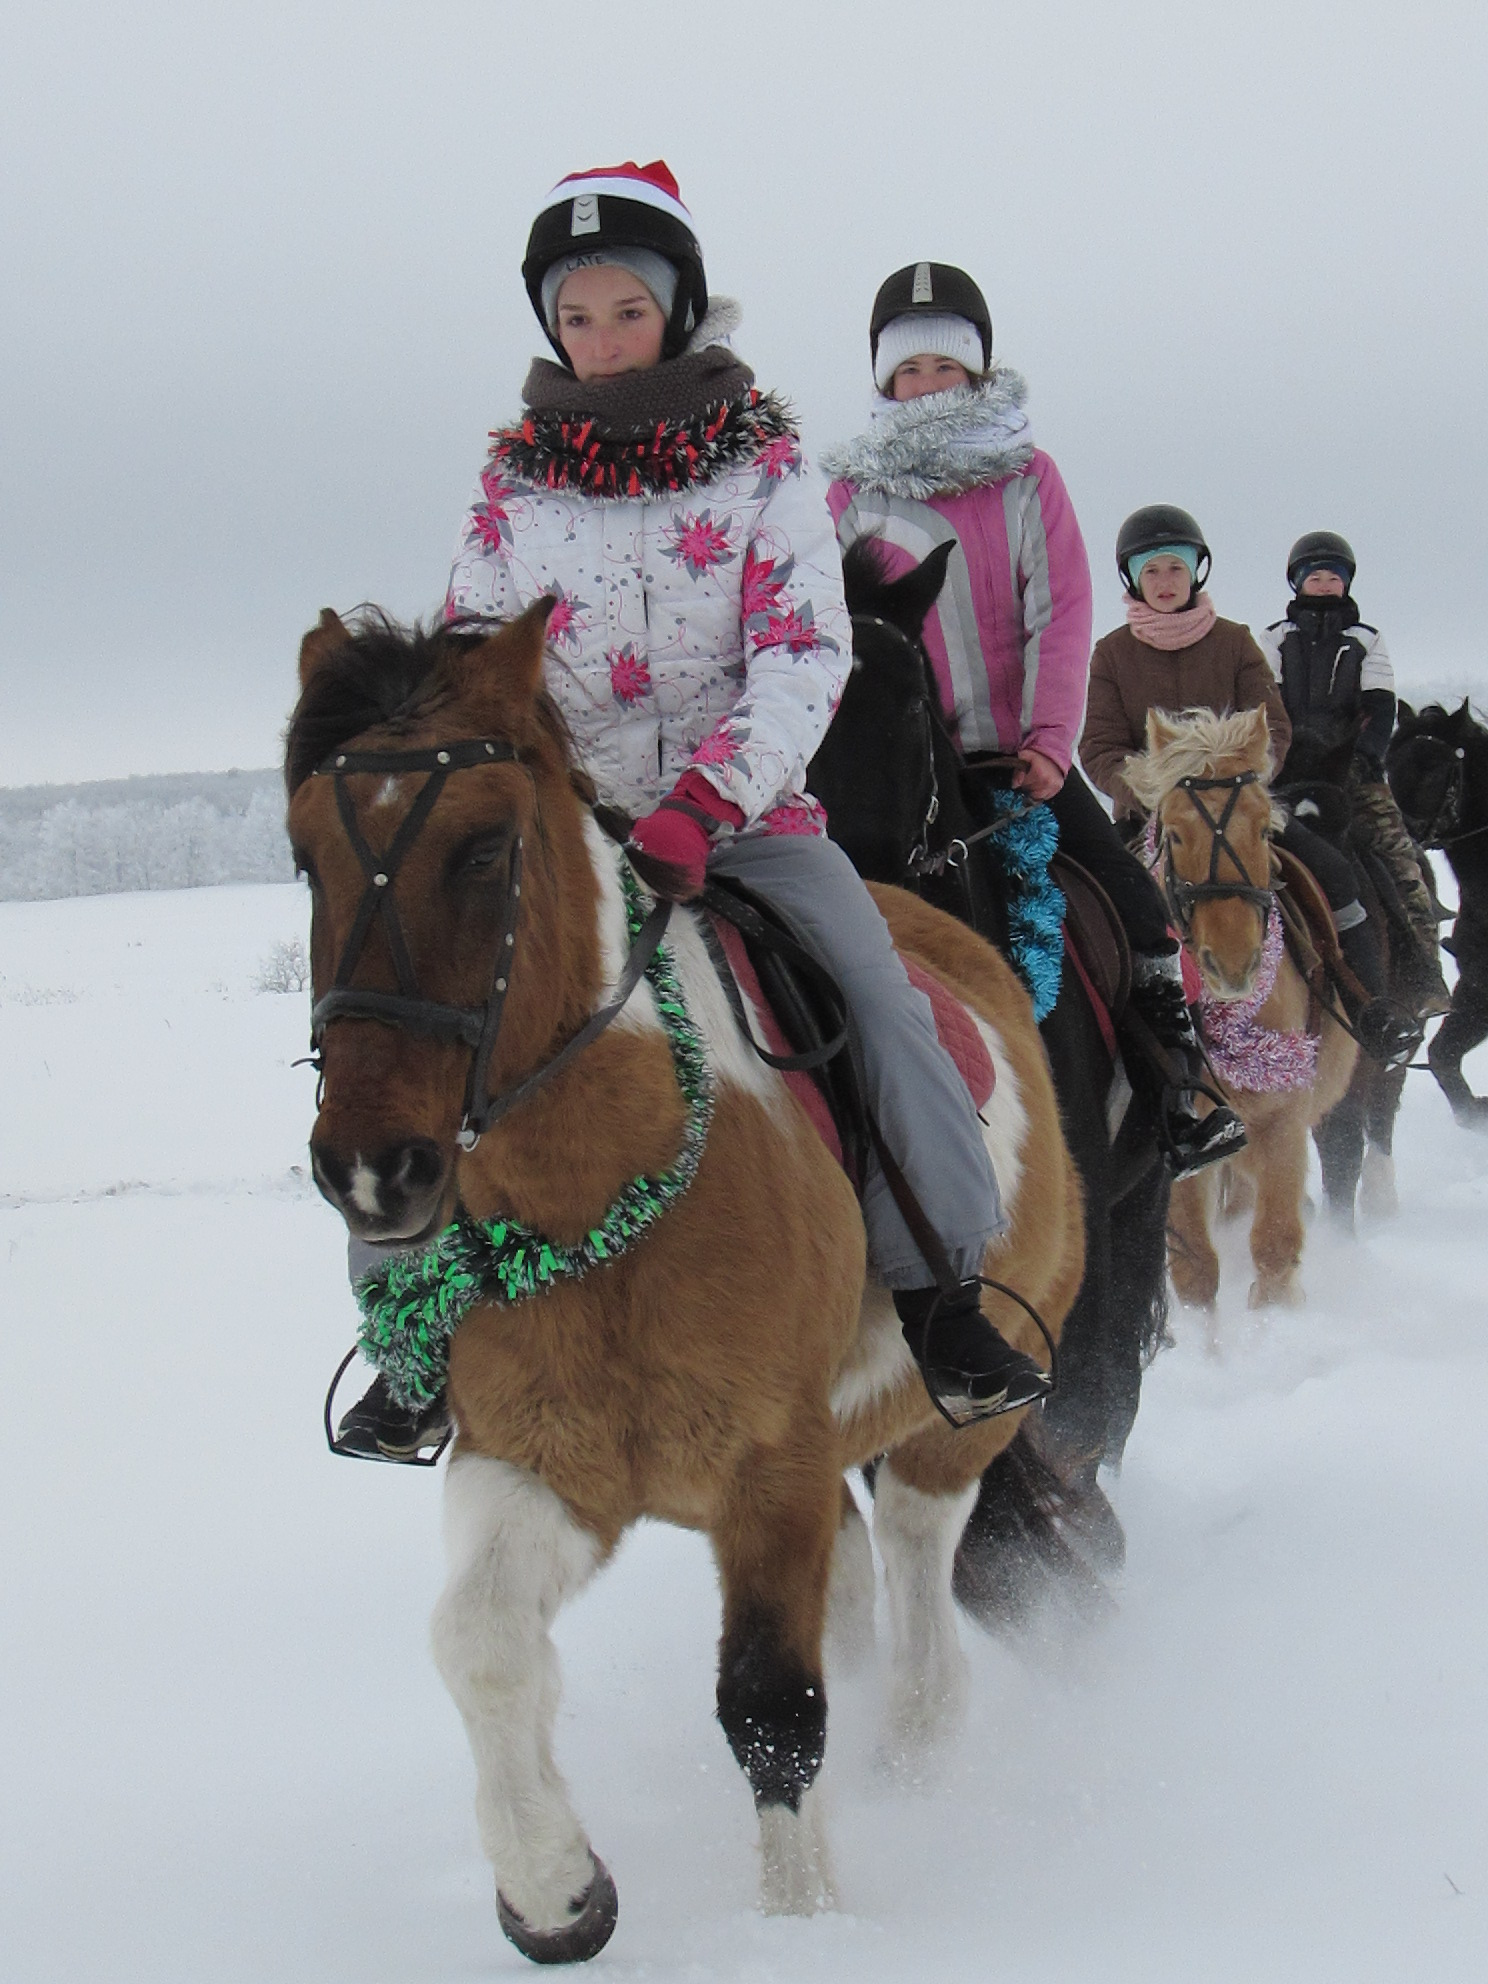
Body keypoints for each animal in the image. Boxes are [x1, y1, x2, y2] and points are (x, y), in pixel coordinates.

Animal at [287, 595, 1087, 1960]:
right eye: (303, 856)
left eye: (485, 849)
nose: (372, 1172)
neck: (601, 1195)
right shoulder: (538, 1463)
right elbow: (481, 1641)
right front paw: (557, 1891)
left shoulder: (772, 1470)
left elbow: (771, 1706)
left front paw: (801, 1923)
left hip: (958, 1416)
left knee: (918, 1555)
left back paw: (920, 1753)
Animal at [1126, 706, 1364, 1309]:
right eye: (1176, 832)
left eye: (1263, 828)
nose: (1233, 964)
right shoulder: (1189, 1144)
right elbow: (1195, 1270)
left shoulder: (1282, 1120)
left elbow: (1275, 1250)